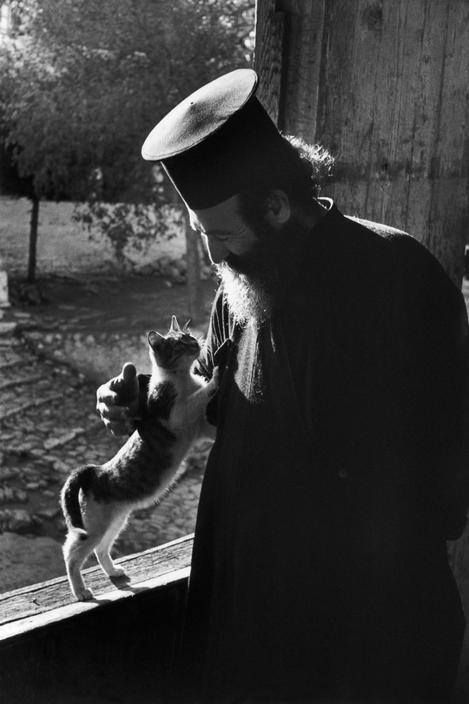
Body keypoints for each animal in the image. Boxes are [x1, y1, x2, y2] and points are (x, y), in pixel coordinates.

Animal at [59, 316, 218, 604]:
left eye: (188, 335)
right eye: (179, 343)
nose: (196, 342)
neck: (184, 379)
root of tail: (94, 471)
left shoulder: (199, 427)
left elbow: (207, 419)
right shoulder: (178, 415)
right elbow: (198, 398)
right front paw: (219, 375)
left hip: (115, 521)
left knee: (100, 549)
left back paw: (113, 572)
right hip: (93, 526)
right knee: (71, 554)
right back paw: (80, 591)